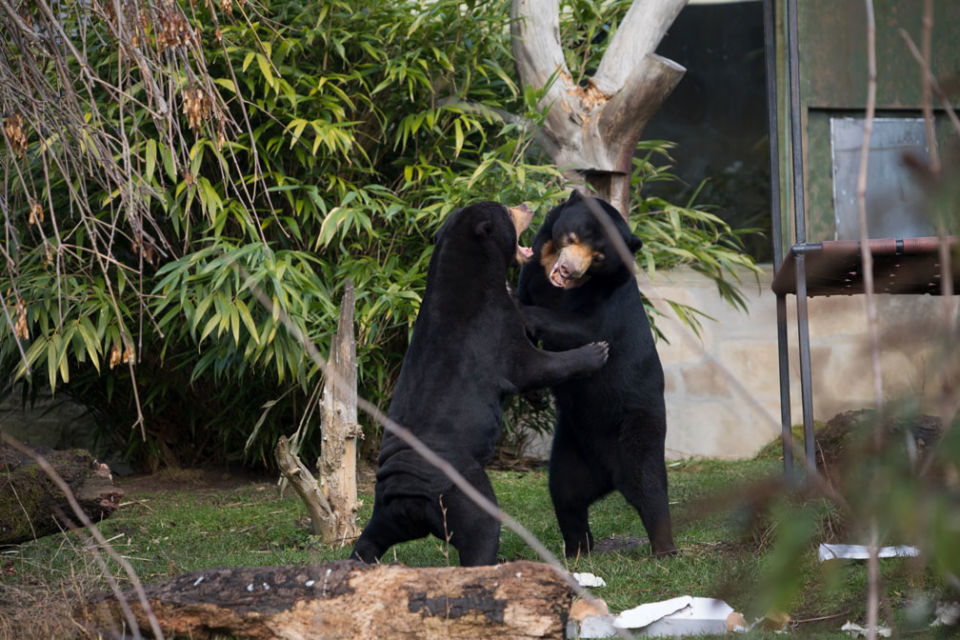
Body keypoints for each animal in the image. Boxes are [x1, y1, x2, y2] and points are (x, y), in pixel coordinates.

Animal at [350, 200, 608, 564]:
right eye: (508, 210)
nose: (527, 204)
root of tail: (408, 497)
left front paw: (539, 400)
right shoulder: (496, 329)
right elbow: (532, 365)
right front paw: (598, 351)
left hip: (384, 515)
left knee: (368, 542)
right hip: (465, 496)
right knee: (482, 533)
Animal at [516, 189, 676, 556]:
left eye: (600, 257)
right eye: (573, 237)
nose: (568, 269)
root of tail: (609, 476)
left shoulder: (608, 299)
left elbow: (585, 326)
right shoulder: (531, 274)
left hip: (637, 427)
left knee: (648, 486)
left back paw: (664, 549)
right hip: (571, 448)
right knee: (566, 494)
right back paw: (578, 549)